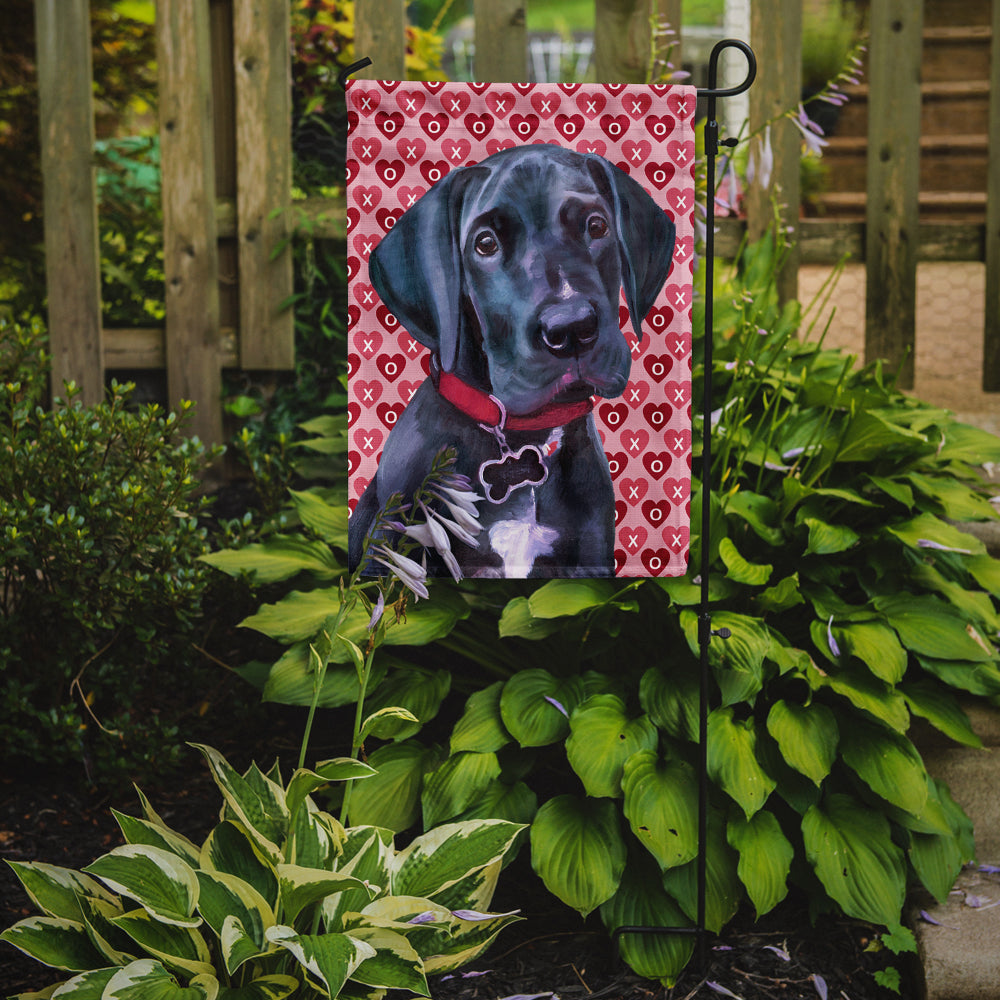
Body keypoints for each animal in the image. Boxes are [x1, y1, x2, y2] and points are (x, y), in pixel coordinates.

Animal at [348, 142, 676, 580]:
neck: (523, 439)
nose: (571, 328)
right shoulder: (392, 549)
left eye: (596, 225)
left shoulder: (588, 560)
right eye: (485, 243)